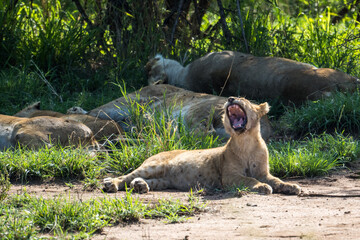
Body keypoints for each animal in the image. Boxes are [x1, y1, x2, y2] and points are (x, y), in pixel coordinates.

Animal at [102, 96, 300, 195]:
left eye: (243, 99)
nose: (230, 98)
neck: (246, 141)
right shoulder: (229, 177)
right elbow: (249, 180)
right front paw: (262, 187)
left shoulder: (263, 173)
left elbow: (277, 180)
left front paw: (291, 187)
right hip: (153, 166)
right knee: (126, 177)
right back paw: (111, 184)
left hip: (164, 180)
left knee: (144, 181)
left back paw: (140, 186)